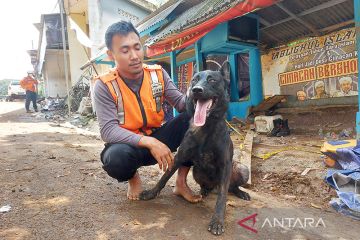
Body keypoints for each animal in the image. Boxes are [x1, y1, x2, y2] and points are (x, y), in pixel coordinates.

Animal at [140, 62, 250, 236]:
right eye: (194, 80)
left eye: (212, 80)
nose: (196, 90)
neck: (206, 127)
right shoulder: (179, 156)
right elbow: (164, 177)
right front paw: (151, 192)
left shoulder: (225, 165)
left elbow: (222, 196)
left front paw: (217, 221)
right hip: (197, 172)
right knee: (209, 186)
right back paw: (204, 191)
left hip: (242, 169)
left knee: (230, 187)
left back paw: (241, 192)